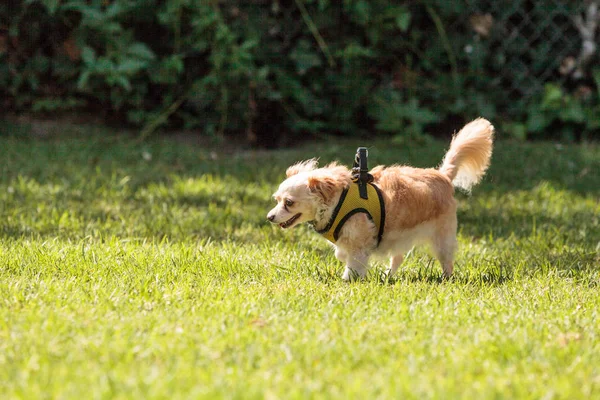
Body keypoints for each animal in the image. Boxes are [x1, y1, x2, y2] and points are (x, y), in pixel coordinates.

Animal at [266, 119, 492, 282]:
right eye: (276, 200)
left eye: (288, 202)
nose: (269, 217)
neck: (337, 202)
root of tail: (443, 176)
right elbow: (344, 255)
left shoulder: (360, 242)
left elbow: (354, 264)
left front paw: (348, 280)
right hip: (401, 235)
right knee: (398, 257)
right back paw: (387, 276)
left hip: (441, 237)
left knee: (446, 260)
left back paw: (446, 278)